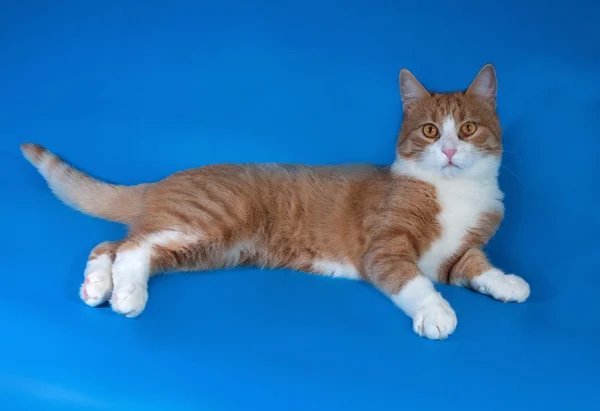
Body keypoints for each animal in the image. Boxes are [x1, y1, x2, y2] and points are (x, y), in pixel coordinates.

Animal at [22, 64, 528, 342]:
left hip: (204, 250)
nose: (449, 150)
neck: (454, 191)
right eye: (430, 131)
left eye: (467, 129)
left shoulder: (455, 255)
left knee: (114, 245)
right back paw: (126, 295)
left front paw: (508, 283)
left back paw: (99, 288)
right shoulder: (386, 247)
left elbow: (476, 264)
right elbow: (414, 282)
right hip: (206, 220)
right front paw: (438, 313)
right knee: (129, 246)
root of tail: (162, 180)